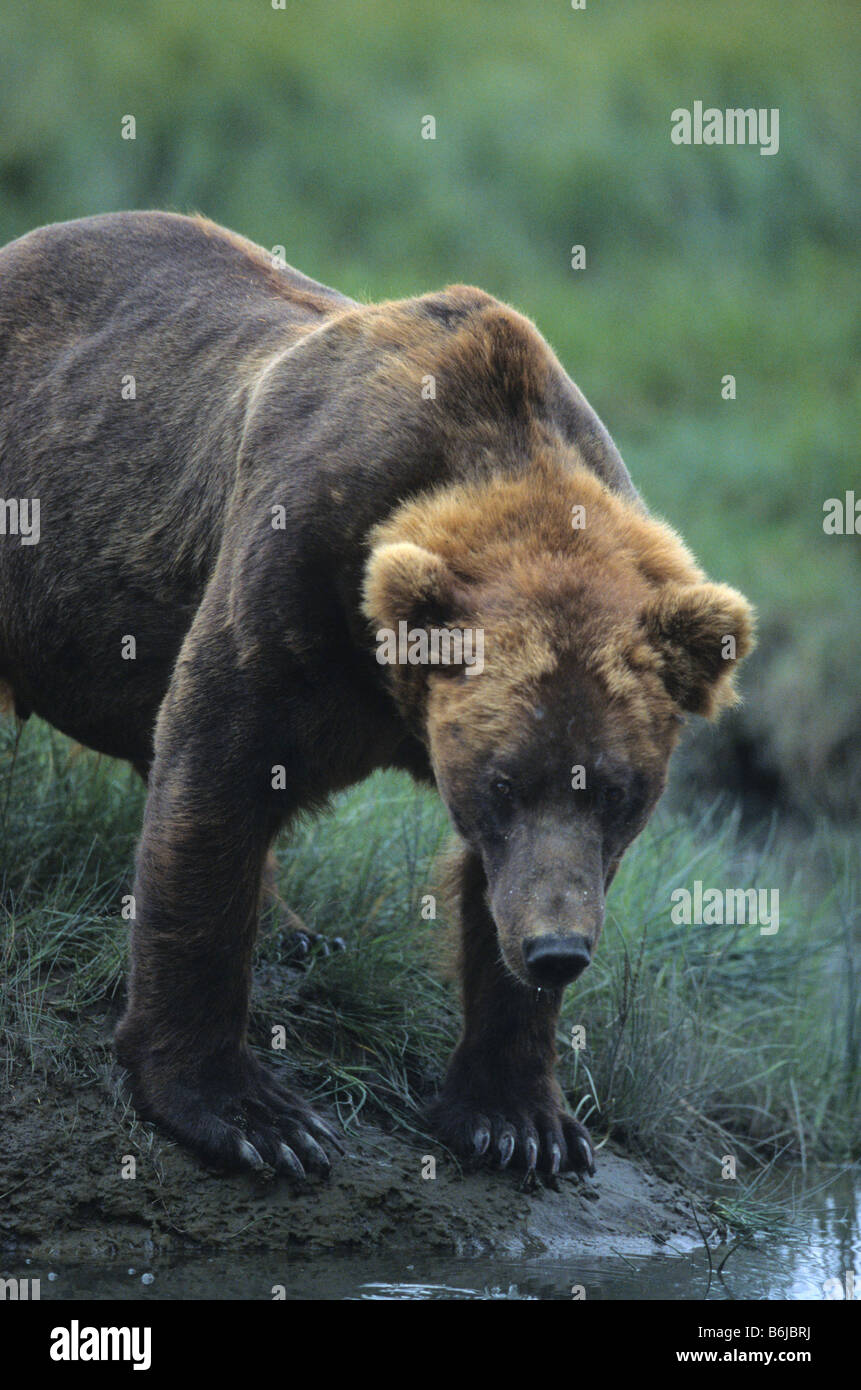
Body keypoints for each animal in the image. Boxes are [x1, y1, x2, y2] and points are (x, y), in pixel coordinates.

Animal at [0, 211, 756, 1178]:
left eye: (617, 791)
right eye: (501, 781)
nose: (557, 952)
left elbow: (492, 893)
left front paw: (521, 1120)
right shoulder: (290, 568)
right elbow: (215, 781)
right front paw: (253, 1114)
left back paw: (299, 929)